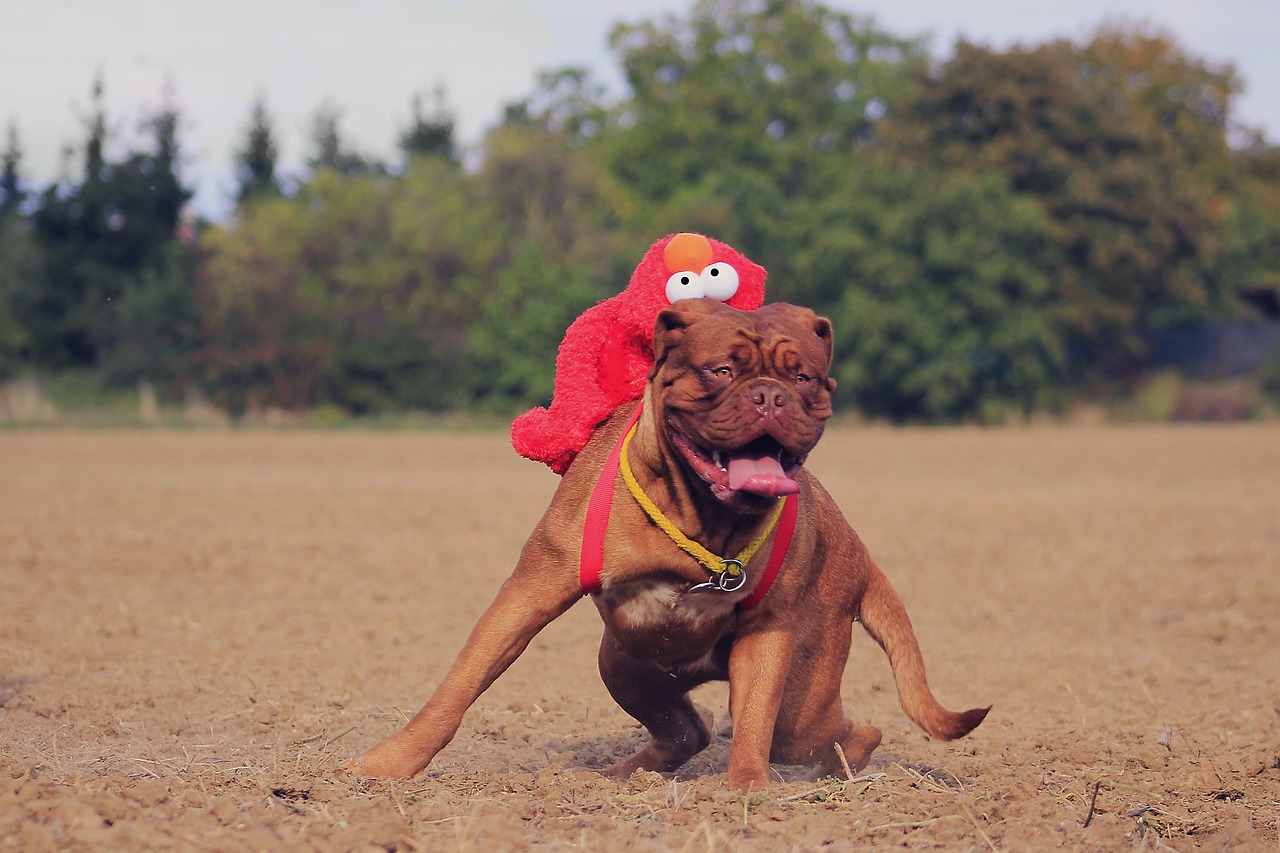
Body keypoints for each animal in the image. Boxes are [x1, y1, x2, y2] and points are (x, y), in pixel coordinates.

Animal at [350, 298, 988, 788]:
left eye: (803, 377)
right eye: (722, 371)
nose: (770, 396)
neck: (701, 516)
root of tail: (861, 553)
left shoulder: (768, 636)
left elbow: (753, 723)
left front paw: (749, 792)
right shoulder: (529, 592)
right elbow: (457, 688)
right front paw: (385, 765)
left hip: (804, 695)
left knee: (835, 733)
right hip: (625, 664)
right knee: (691, 727)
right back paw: (619, 776)